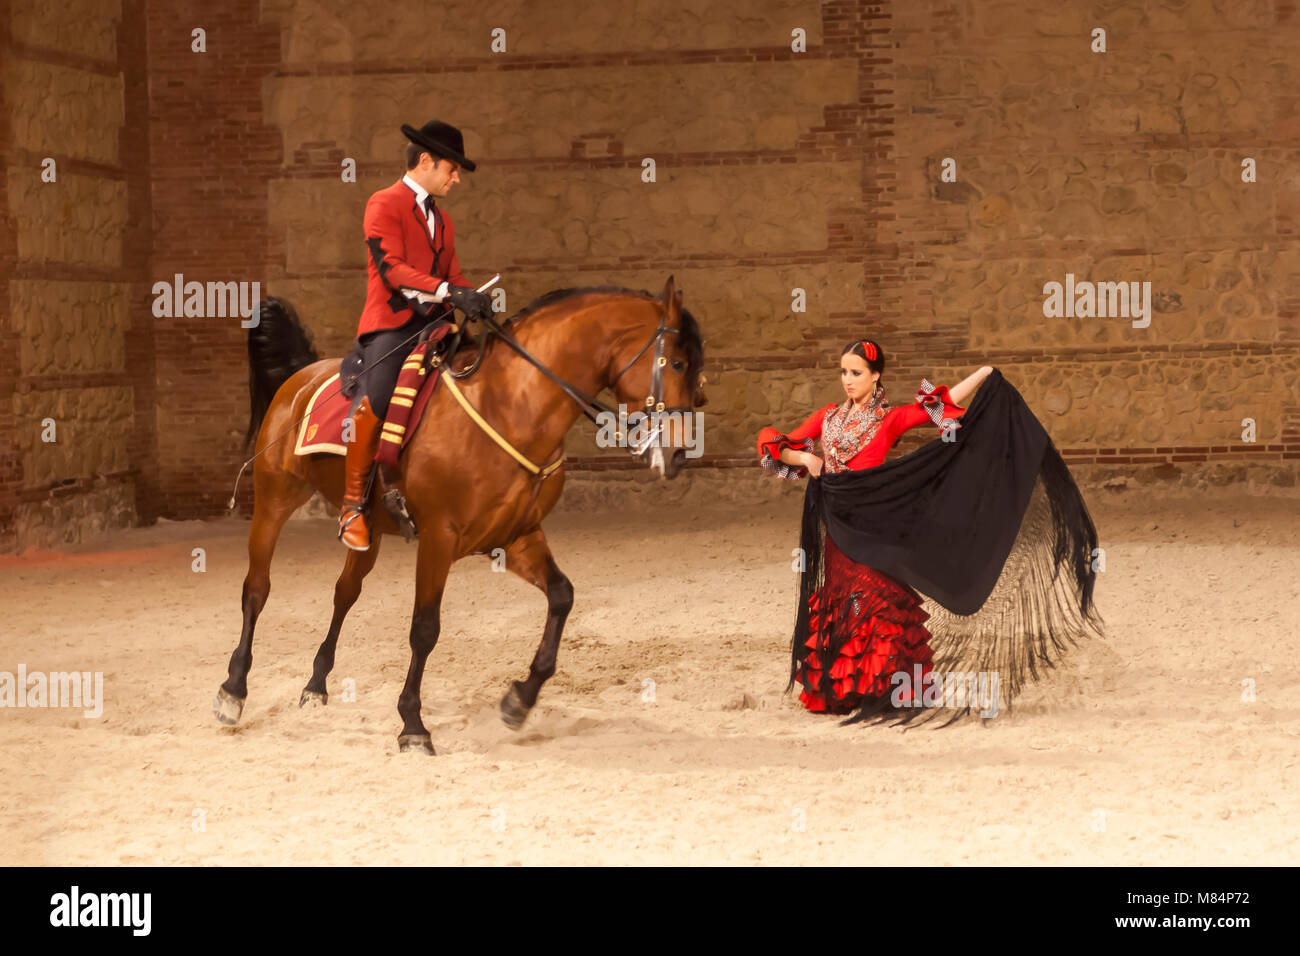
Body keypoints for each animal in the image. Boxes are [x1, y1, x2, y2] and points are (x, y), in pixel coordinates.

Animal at [213, 277, 707, 754]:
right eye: (679, 364)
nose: (680, 452)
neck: (510, 405)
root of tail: (303, 376)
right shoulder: (439, 538)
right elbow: (425, 629)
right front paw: (413, 725)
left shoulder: (516, 536)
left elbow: (562, 596)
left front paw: (519, 700)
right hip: (274, 502)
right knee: (256, 590)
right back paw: (233, 690)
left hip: (368, 532)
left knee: (344, 593)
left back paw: (316, 685)